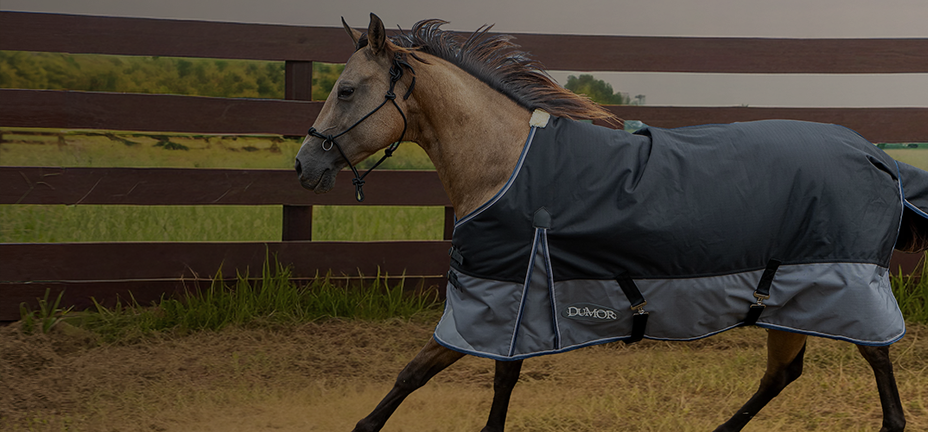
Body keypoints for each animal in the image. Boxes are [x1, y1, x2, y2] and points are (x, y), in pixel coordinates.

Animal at [294, 14, 921, 432]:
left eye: (345, 90)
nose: (305, 165)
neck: (508, 164)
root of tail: (877, 155)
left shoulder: (497, 300)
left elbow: (431, 374)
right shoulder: (512, 303)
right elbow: (468, 377)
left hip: (840, 289)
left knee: (876, 366)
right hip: (787, 296)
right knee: (781, 375)